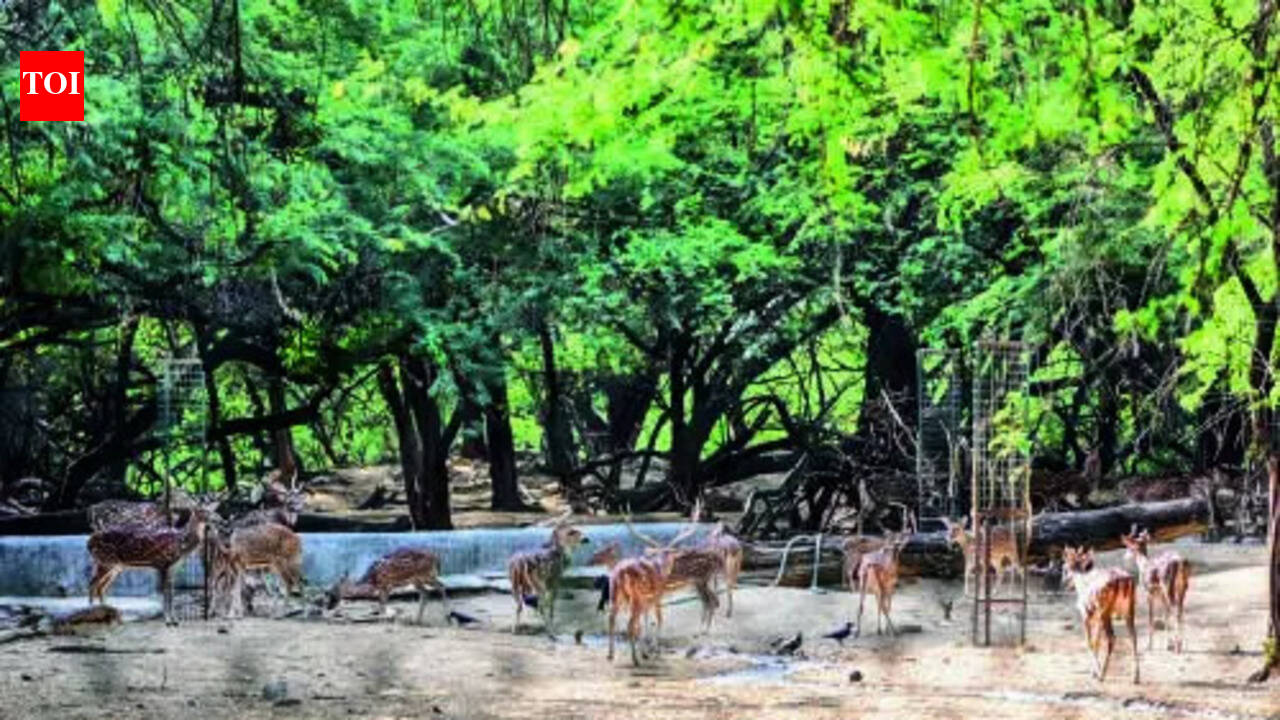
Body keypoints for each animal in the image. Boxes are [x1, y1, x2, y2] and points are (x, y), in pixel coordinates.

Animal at [1061, 546, 1139, 684]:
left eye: (1064, 567)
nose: (1063, 582)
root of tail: (1125, 581)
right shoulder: (1095, 618)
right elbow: (1096, 641)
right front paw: (1094, 671)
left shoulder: (1086, 615)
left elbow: (1091, 642)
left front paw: (1095, 672)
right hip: (1129, 609)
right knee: (1133, 637)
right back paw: (1135, 677)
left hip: (1105, 611)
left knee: (1111, 638)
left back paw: (1102, 674)